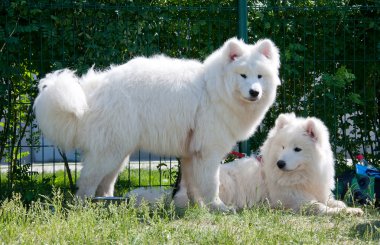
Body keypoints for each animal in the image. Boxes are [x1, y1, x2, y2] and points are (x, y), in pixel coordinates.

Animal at [33, 37, 282, 212]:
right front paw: (218, 207)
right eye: (243, 75)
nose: (254, 92)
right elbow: (211, 184)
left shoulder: (190, 154)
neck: (214, 90)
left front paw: (197, 208)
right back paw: (83, 208)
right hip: (110, 152)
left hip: (118, 153)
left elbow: (192, 186)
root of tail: (90, 93)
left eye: (259, 76)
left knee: (104, 184)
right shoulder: (208, 152)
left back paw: (106, 205)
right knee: (86, 183)